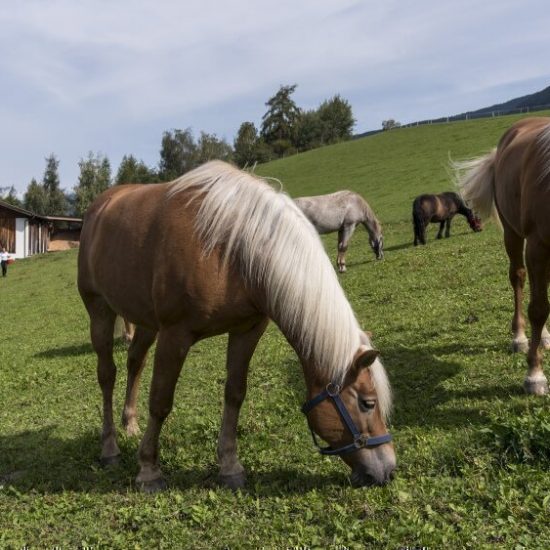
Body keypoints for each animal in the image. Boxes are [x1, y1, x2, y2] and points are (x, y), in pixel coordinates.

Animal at [77, 162, 396, 494]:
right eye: (367, 403)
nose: (388, 469)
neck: (232, 249)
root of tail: (101, 205)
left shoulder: (248, 330)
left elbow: (235, 394)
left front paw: (230, 467)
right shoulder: (175, 335)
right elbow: (161, 402)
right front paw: (149, 470)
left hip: (145, 322)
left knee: (135, 363)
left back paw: (130, 424)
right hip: (100, 311)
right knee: (107, 375)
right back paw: (110, 447)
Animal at [460, 118, 550, 396]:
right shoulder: (537, 245)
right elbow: (538, 309)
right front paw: (534, 374)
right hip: (513, 234)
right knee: (518, 278)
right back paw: (520, 337)